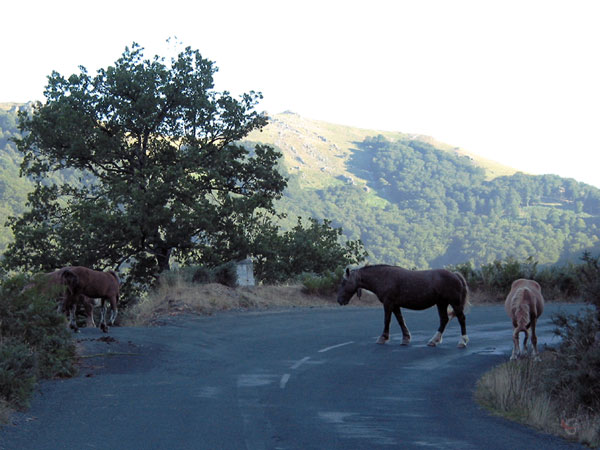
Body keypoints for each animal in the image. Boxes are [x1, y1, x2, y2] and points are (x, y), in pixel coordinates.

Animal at [338, 264, 468, 348]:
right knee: (444, 320)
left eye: (344, 282)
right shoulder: (395, 305)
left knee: (461, 319)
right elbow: (400, 320)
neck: (384, 277)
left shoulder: (388, 303)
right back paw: (433, 341)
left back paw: (462, 341)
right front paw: (406, 338)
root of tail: (455, 275)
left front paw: (383, 338)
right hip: (441, 303)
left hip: (454, 303)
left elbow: (387, 320)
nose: (339, 300)